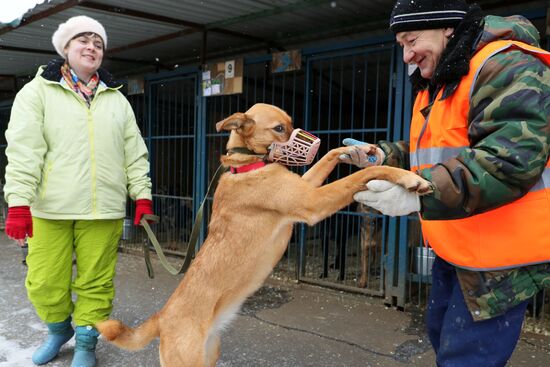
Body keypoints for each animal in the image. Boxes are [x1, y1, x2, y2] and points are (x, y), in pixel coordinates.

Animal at [95, 103, 434, 367]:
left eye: (292, 124)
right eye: (279, 128)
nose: (315, 141)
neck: (247, 164)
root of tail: (162, 316)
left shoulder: (306, 188)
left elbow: (333, 162)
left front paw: (354, 150)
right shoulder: (312, 202)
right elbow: (364, 175)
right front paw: (408, 178)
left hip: (210, 355)